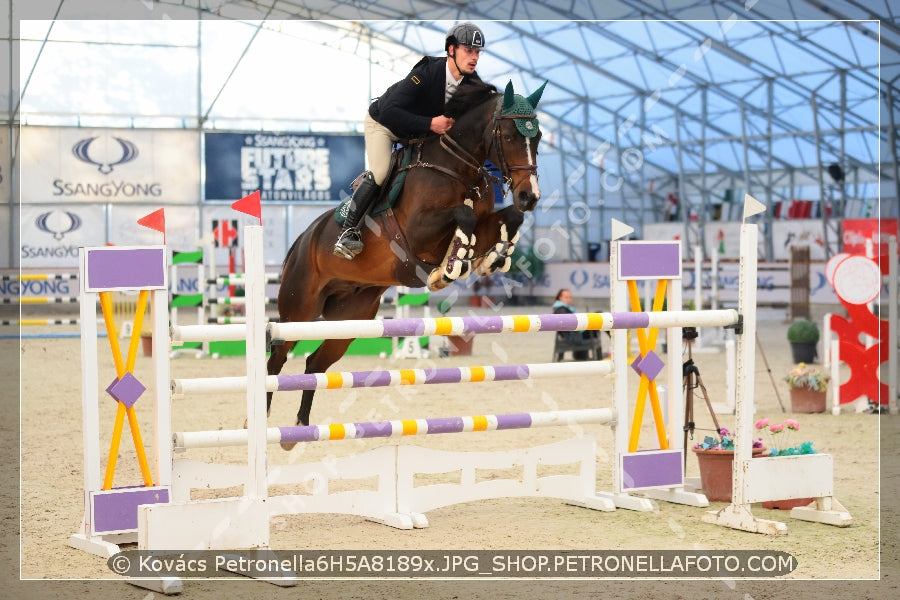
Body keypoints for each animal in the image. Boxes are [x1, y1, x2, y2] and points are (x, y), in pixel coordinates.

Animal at [266, 78, 548, 446]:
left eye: (538, 137)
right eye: (511, 136)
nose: (530, 196)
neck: (459, 167)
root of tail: (302, 240)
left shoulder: (487, 219)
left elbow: (507, 218)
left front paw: (491, 258)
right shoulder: (418, 232)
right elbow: (464, 215)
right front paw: (449, 268)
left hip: (350, 318)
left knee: (315, 364)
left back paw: (298, 429)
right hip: (298, 309)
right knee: (277, 359)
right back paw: (259, 422)